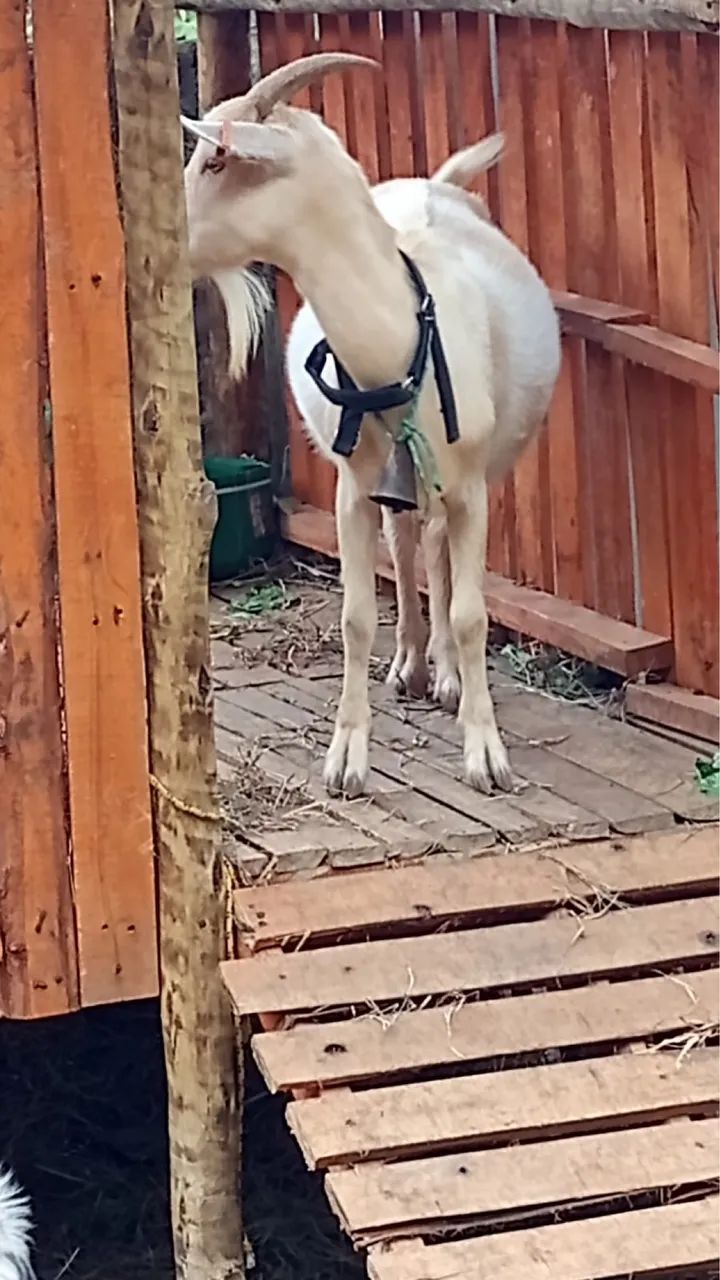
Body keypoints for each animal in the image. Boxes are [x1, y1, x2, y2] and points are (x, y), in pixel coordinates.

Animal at [182, 54, 561, 798]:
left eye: (216, 159)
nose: (161, 246)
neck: (400, 344)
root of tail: (434, 184)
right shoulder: (350, 489)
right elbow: (357, 616)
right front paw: (345, 761)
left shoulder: (473, 487)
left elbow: (473, 613)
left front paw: (486, 755)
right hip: (393, 480)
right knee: (406, 540)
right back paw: (412, 663)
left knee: (435, 546)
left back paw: (445, 675)